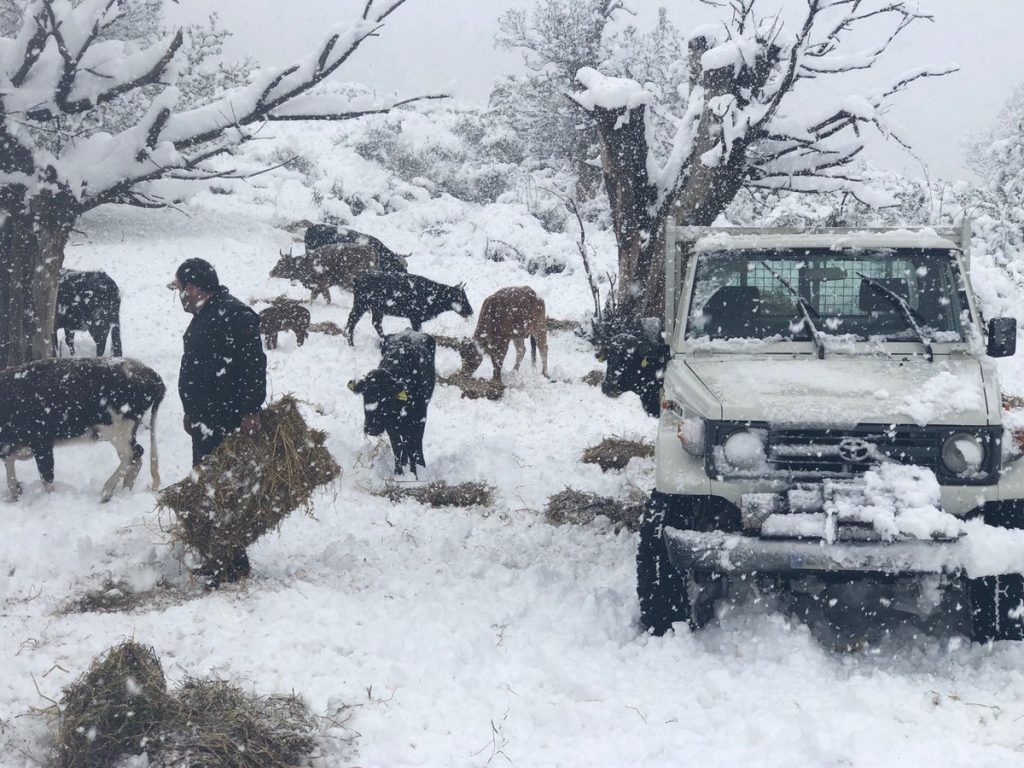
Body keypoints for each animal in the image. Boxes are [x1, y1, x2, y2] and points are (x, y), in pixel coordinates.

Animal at [1, 358, 163, 501]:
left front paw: (50, 500)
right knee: (136, 457)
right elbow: (10, 468)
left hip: (118, 430)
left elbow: (46, 475)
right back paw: (124, 491)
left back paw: (106, 491)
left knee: (132, 454)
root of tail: (150, 373)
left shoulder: (41, 441)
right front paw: (17, 493)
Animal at [272, 243, 407, 303]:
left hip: (349, 281)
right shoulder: (323, 286)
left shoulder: (322, 284)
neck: (305, 264)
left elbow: (318, 297)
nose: (271, 272)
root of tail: (373, 251)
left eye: (281, 264)